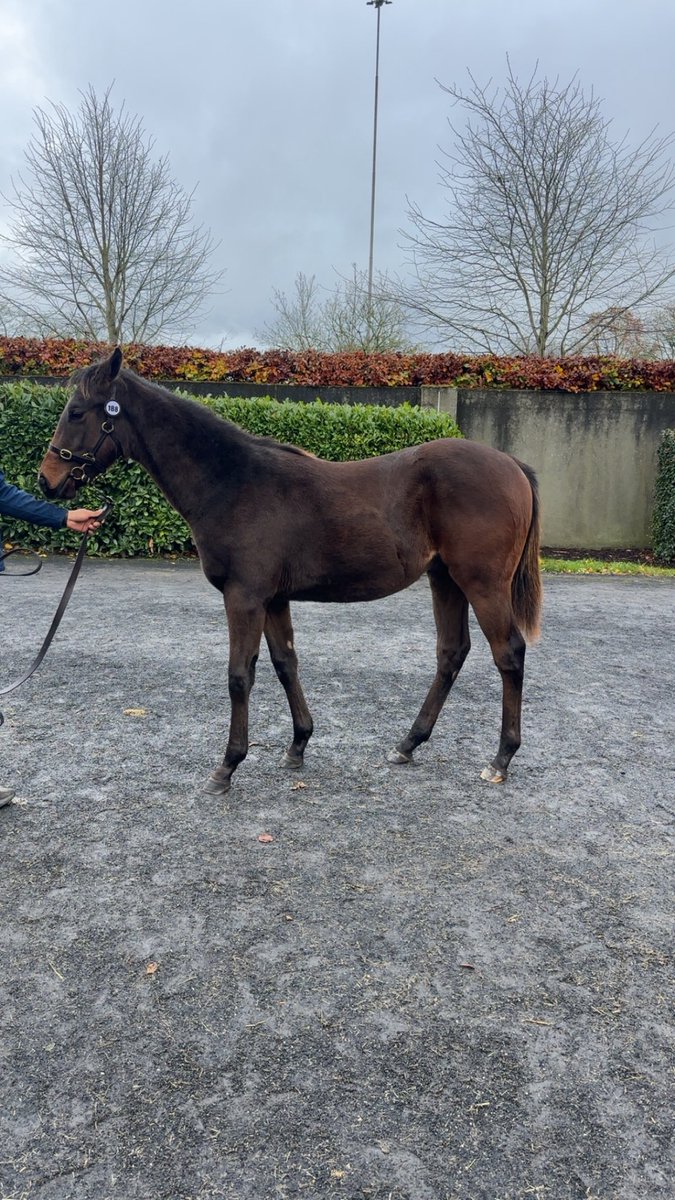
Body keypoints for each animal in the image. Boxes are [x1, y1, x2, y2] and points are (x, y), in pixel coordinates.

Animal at [39, 347, 542, 793]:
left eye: (78, 412)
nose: (47, 480)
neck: (234, 482)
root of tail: (511, 464)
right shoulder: (273, 598)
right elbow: (285, 663)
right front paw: (298, 746)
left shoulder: (244, 597)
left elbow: (239, 676)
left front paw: (227, 767)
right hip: (445, 580)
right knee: (451, 653)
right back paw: (407, 744)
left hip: (482, 584)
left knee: (509, 653)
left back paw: (500, 759)